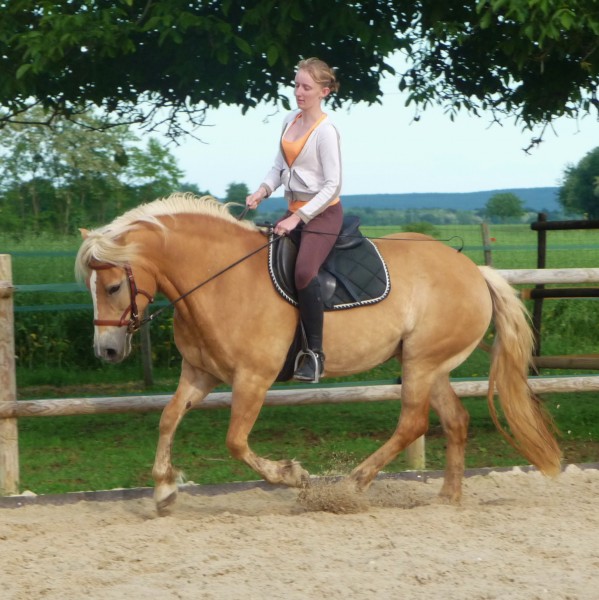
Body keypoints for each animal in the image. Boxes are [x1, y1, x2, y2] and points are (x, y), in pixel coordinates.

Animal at [75, 193, 561, 514]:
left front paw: (293, 476)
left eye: (114, 286)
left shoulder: (253, 379)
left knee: (412, 423)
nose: (107, 350)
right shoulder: (199, 373)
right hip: (428, 365)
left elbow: (235, 441)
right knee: (454, 421)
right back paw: (446, 498)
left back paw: (351, 485)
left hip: (421, 364)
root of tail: (474, 271)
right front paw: (163, 490)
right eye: (92, 286)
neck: (219, 279)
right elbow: (168, 418)